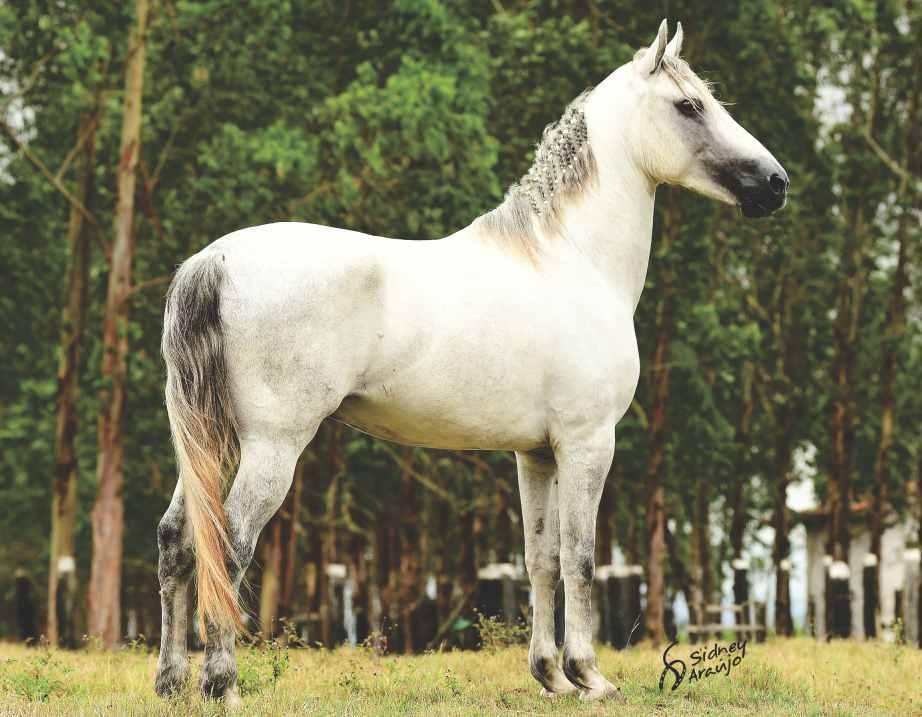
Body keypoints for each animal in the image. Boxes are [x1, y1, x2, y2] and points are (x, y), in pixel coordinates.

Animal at [153, 22, 784, 704]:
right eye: (690, 105)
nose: (775, 183)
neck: (571, 259)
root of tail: (213, 261)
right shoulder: (588, 443)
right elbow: (582, 556)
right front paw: (589, 676)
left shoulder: (536, 454)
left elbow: (541, 559)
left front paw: (550, 677)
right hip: (272, 445)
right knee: (230, 545)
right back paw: (222, 685)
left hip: (212, 440)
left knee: (178, 541)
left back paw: (171, 682)